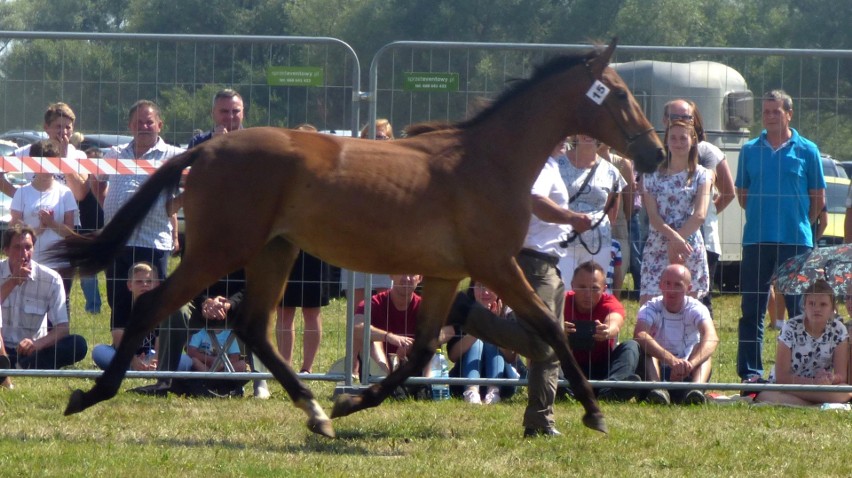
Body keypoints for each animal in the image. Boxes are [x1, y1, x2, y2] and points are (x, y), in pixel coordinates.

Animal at [53, 40, 664, 436]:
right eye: (616, 94)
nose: (655, 152)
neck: (489, 162)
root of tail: (204, 149)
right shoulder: (495, 263)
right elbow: (550, 327)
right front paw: (594, 411)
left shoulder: (445, 274)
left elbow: (422, 347)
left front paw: (351, 401)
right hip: (218, 249)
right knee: (153, 304)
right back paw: (90, 394)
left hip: (273, 251)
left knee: (250, 324)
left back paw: (317, 413)